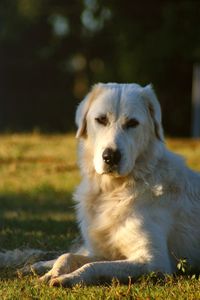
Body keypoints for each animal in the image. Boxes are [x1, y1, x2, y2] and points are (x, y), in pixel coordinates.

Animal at [28, 82, 200, 286]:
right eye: (101, 120)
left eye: (132, 123)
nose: (110, 157)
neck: (113, 191)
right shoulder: (104, 252)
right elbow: (68, 256)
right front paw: (53, 272)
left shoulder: (153, 261)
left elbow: (94, 266)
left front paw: (69, 277)